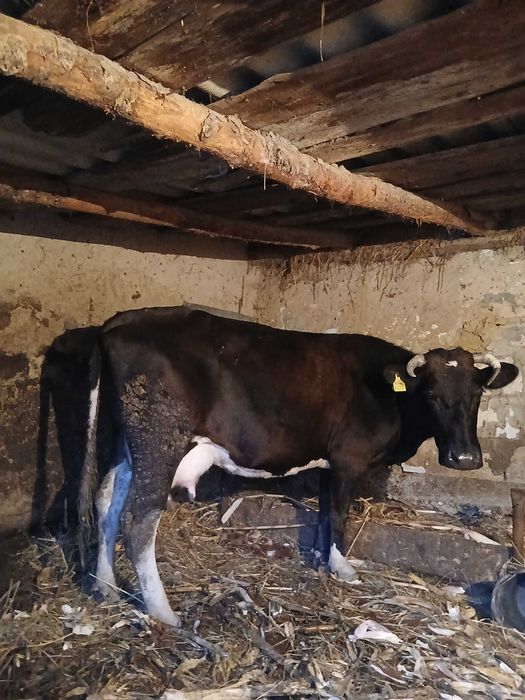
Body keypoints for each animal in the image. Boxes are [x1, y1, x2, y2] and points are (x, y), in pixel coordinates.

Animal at [78, 306, 519, 626]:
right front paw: (343, 567)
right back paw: (162, 612)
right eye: (430, 393)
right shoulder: (349, 458)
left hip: (129, 442)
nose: (464, 458)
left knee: (107, 501)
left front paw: (323, 559)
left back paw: (105, 585)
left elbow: (324, 513)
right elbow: (339, 512)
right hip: (161, 437)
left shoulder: (328, 463)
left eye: (477, 392)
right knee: (138, 516)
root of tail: (125, 318)